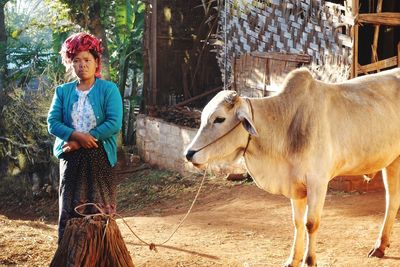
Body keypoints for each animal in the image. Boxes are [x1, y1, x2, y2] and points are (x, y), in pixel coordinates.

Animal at [186, 68, 400, 266]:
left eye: (219, 119)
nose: (189, 154)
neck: (286, 123)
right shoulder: (295, 186)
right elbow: (297, 223)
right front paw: (293, 259)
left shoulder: (318, 182)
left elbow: (311, 223)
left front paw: (310, 260)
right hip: (392, 162)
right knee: (392, 200)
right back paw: (380, 245)